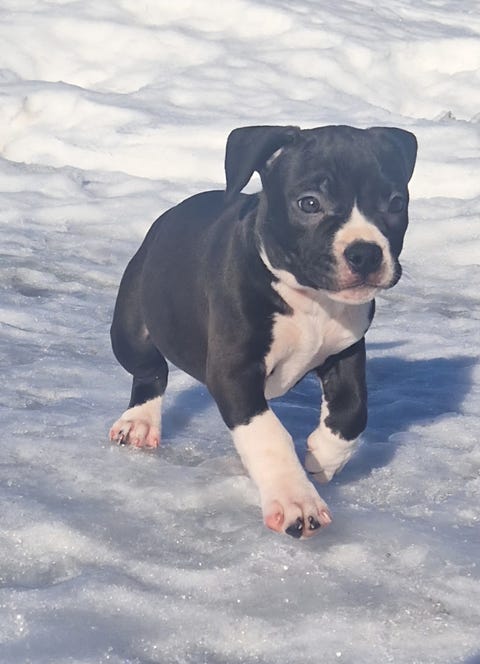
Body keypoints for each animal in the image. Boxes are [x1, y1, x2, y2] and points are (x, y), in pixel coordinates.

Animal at [110, 124, 417, 539]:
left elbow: (353, 409)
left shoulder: (347, 350)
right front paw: (295, 500)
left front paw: (322, 458)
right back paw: (139, 422)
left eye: (396, 203)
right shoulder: (233, 371)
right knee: (148, 369)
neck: (310, 301)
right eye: (309, 203)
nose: (365, 253)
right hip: (132, 324)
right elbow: (268, 434)